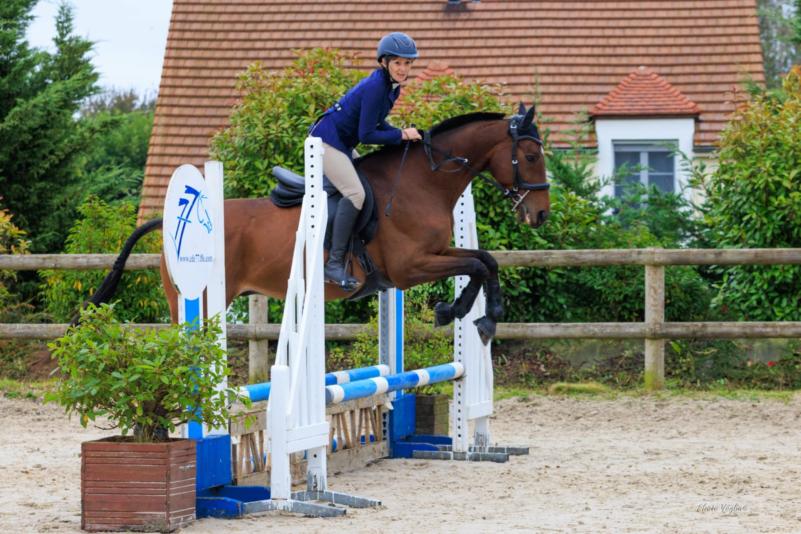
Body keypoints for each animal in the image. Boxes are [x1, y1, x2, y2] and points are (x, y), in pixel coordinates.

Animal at [88, 104, 550, 343]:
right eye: (530, 156)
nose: (540, 213)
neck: (423, 181)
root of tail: (166, 221)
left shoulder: (435, 252)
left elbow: (485, 260)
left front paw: (475, 313)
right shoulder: (410, 267)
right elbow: (474, 264)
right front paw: (468, 313)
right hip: (199, 302)